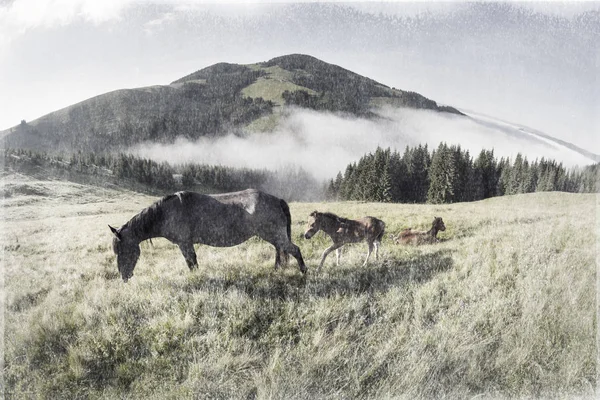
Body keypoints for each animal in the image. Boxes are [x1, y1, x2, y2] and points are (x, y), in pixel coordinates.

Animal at [108, 190, 308, 282]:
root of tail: (277, 200)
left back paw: (304, 272)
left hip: (275, 235)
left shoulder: (184, 243)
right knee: (280, 251)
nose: (124, 277)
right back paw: (277, 270)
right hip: (273, 236)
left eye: (123, 251)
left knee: (295, 250)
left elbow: (191, 263)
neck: (166, 213)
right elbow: (193, 262)